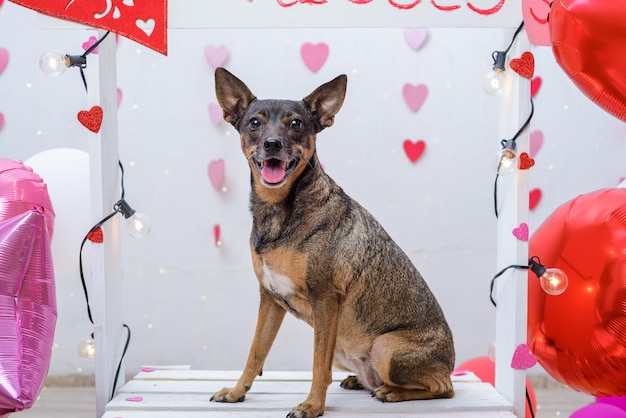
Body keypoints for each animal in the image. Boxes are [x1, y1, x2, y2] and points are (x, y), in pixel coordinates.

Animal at [211, 68, 454, 418]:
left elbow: (317, 364)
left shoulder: (325, 299)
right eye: (254, 122)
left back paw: (391, 392)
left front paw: (312, 405)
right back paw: (360, 381)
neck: (280, 210)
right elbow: (256, 352)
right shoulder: (269, 299)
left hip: (385, 346)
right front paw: (235, 392)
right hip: (345, 349)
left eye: (296, 123)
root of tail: (449, 363)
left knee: (442, 388)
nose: (272, 144)